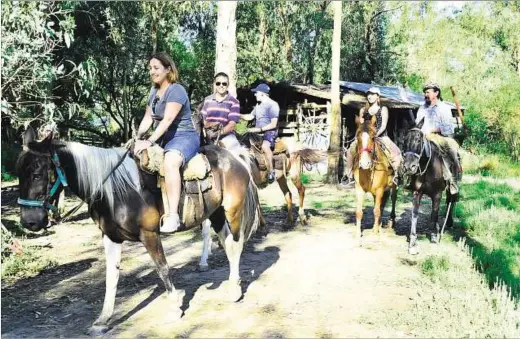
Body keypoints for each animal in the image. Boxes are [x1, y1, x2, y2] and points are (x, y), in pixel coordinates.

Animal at [15, 127, 262, 334]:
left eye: (37, 174)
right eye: (19, 174)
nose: (29, 222)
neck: (114, 190)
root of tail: (234, 157)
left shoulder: (149, 234)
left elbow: (162, 268)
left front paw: (174, 308)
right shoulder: (111, 237)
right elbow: (111, 277)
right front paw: (102, 320)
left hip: (232, 211)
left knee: (236, 245)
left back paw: (235, 291)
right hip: (216, 214)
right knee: (227, 244)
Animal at [354, 113, 398, 242]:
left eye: (373, 138)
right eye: (357, 137)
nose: (364, 163)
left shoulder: (379, 190)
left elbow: (377, 211)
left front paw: (374, 234)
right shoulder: (359, 190)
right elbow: (359, 212)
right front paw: (358, 234)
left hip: (393, 186)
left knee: (393, 199)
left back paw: (391, 221)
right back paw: (378, 226)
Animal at [400, 119, 458, 255]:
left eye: (419, 140)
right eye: (404, 141)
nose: (408, 167)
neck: (428, 168)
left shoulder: (437, 194)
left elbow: (434, 213)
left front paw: (433, 235)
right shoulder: (417, 192)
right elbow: (415, 214)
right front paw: (413, 243)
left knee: (451, 201)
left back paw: (449, 222)